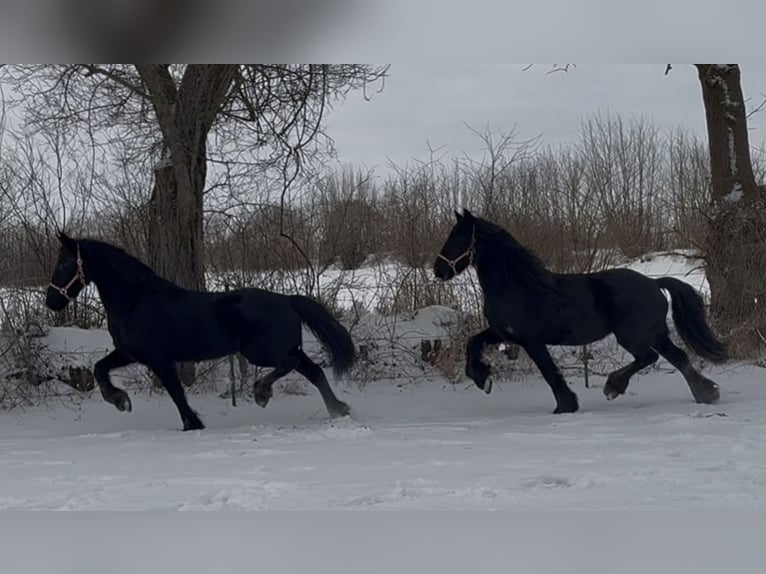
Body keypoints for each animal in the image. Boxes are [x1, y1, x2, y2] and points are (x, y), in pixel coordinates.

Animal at [46, 233, 355, 430]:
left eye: (64, 263)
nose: (51, 301)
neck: (136, 300)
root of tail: (288, 299)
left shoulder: (157, 359)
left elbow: (176, 393)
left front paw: (192, 424)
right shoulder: (129, 352)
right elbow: (100, 368)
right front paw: (121, 401)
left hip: (261, 352)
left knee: (291, 365)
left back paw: (262, 393)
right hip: (283, 348)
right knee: (314, 371)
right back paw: (339, 409)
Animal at [433, 209, 727, 414]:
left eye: (457, 237)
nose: (439, 270)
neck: (517, 285)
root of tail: (655, 283)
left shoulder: (531, 340)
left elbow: (550, 372)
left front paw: (565, 405)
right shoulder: (502, 332)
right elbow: (473, 342)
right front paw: (482, 379)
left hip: (632, 336)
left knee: (649, 357)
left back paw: (613, 387)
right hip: (655, 333)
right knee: (677, 357)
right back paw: (707, 394)